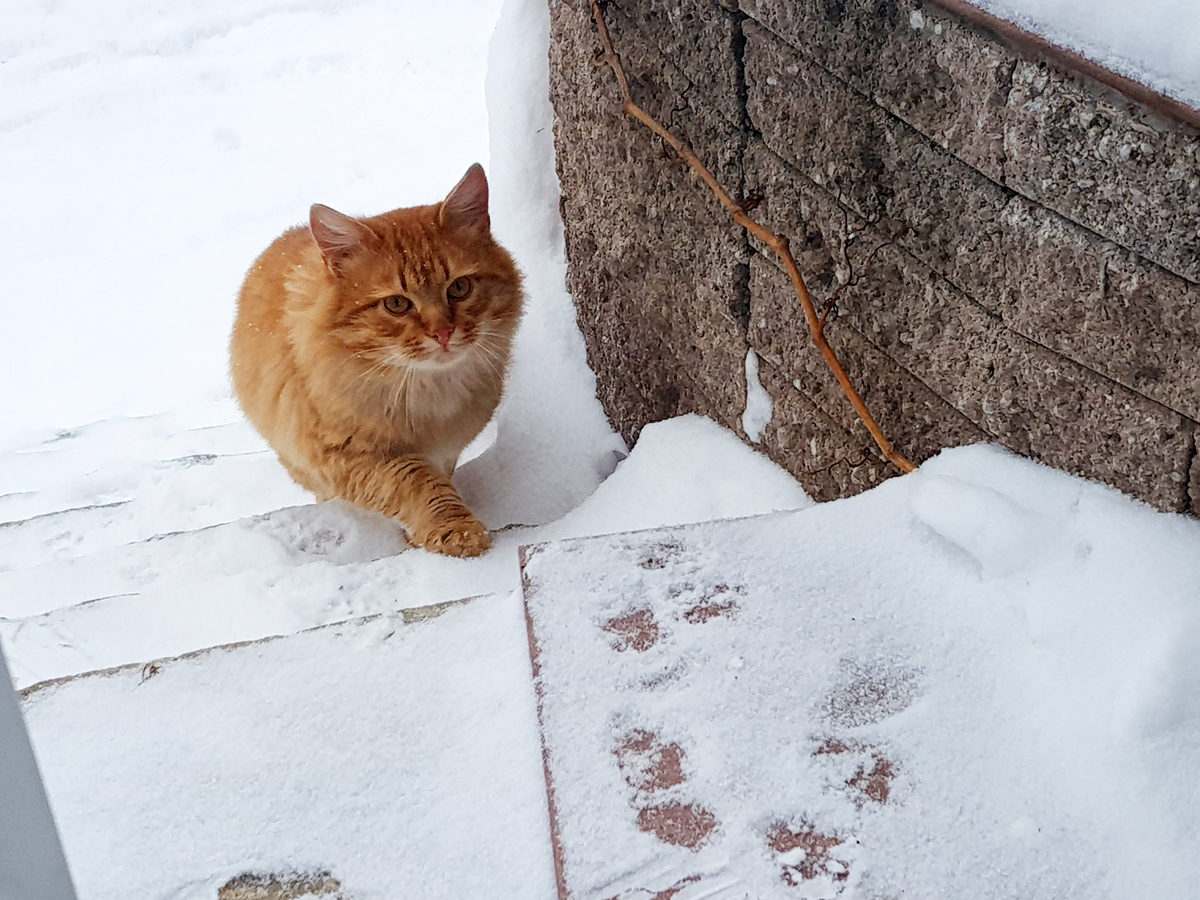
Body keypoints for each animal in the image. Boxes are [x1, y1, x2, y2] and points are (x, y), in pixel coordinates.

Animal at [229, 164, 520, 556]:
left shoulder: (445, 452)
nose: (443, 333)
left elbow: (436, 478)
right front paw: (455, 531)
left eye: (459, 288)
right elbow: (419, 485)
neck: (426, 394)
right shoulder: (347, 456)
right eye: (396, 304)